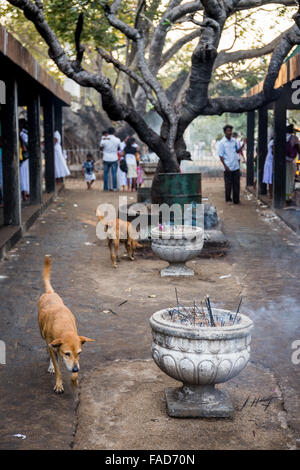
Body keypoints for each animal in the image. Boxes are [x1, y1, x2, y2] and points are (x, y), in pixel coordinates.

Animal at [38, 255, 94, 394]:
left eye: (79, 353)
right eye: (67, 353)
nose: (75, 369)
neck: (64, 327)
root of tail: (49, 293)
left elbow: (74, 374)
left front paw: (74, 379)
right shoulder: (53, 346)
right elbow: (58, 368)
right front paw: (58, 384)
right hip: (43, 335)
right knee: (50, 351)